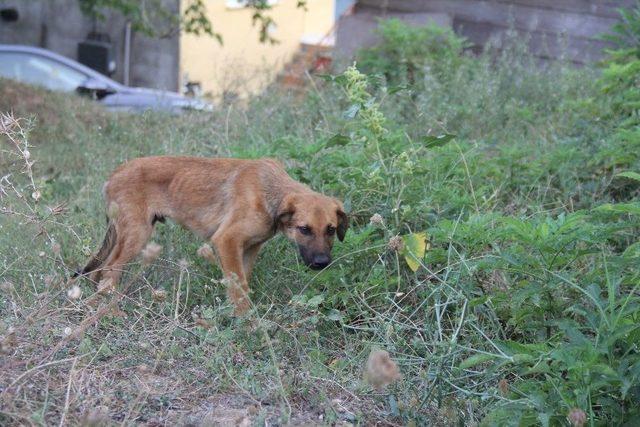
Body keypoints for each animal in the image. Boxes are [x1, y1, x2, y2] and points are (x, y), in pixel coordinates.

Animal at [77, 156, 348, 314]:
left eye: (331, 229)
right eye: (304, 229)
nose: (321, 263)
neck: (269, 190)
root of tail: (113, 175)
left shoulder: (249, 248)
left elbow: (240, 282)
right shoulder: (226, 241)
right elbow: (239, 290)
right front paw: (249, 324)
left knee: (99, 273)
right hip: (137, 235)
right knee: (109, 272)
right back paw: (111, 312)